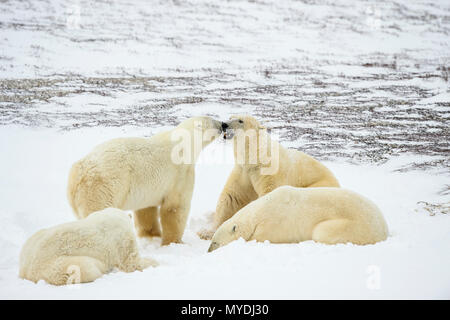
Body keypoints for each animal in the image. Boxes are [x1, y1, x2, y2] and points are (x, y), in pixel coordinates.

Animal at [18, 209, 156, 286]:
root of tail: (25, 271)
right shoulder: (122, 238)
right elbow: (131, 261)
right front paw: (155, 262)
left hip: (31, 241)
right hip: (53, 265)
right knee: (83, 269)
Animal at [68, 116, 223, 244]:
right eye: (213, 120)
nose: (223, 124)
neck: (184, 144)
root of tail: (77, 174)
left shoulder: (148, 187)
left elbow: (146, 209)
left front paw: (152, 234)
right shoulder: (180, 174)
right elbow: (175, 207)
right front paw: (174, 241)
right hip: (103, 188)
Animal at [199, 114, 340, 239]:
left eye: (240, 120)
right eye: (230, 117)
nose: (224, 124)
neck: (255, 158)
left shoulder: (268, 171)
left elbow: (268, 194)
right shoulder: (243, 171)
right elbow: (232, 197)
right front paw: (206, 232)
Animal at [207, 186, 386, 251]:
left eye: (215, 242)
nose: (209, 251)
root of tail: (384, 227)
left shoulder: (274, 224)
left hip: (355, 226)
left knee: (321, 231)